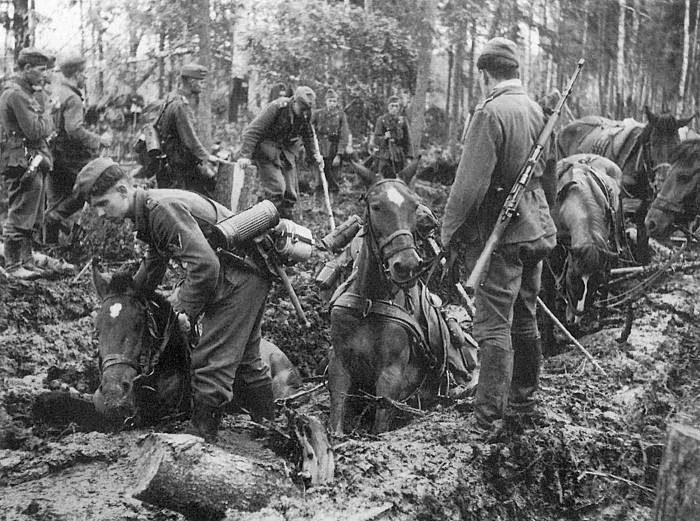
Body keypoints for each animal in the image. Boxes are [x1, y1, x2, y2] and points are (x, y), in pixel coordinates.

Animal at [330, 159, 456, 434]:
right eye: (376, 206)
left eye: (414, 205)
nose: (407, 265)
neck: (369, 302)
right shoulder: (340, 365)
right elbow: (336, 421)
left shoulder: (391, 373)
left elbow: (381, 422)